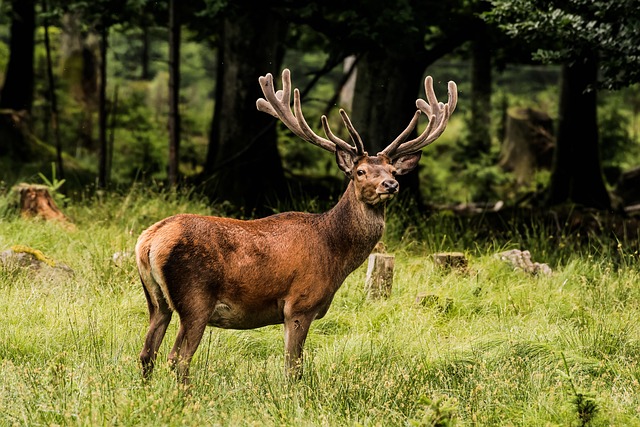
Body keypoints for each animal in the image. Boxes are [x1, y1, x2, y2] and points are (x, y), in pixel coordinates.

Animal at [136, 69, 457, 384]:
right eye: (360, 172)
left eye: (392, 170)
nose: (391, 184)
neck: (335, 253)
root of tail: (149, 242)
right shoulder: (300, 304)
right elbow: (293, 368)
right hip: (195, 298)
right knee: (177, 357)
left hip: (156, 300)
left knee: (147, 353)